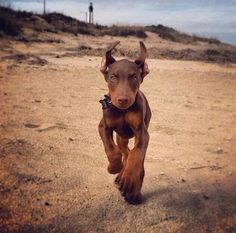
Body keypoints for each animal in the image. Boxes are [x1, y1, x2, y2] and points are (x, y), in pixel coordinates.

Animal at [98, 41, 151, 204]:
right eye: (113, 77)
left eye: (134, 77)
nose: (123, 100)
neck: (122, 111)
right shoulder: (103, 126)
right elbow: (111, 149)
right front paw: (113, 168)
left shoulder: (142, 133)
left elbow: (136, 154)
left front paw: (129, 179)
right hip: (121, 138)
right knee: (124, 152)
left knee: (134, 157)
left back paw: (132, 191)